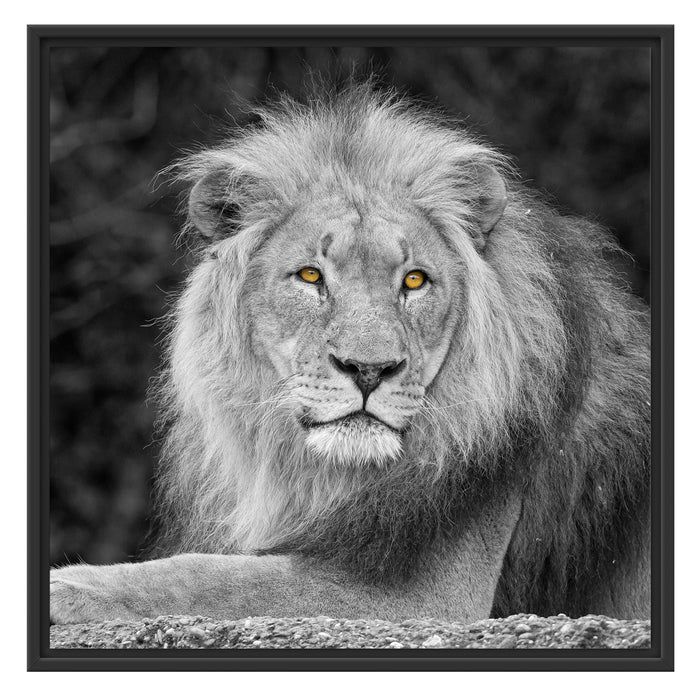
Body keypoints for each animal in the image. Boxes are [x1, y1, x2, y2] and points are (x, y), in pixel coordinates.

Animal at [50, 83, 650, 626]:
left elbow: (212, 576)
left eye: (414, 280)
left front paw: (70, 586)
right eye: (311, 276)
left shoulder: (428, 597)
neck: (323, 476)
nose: (368, 370)